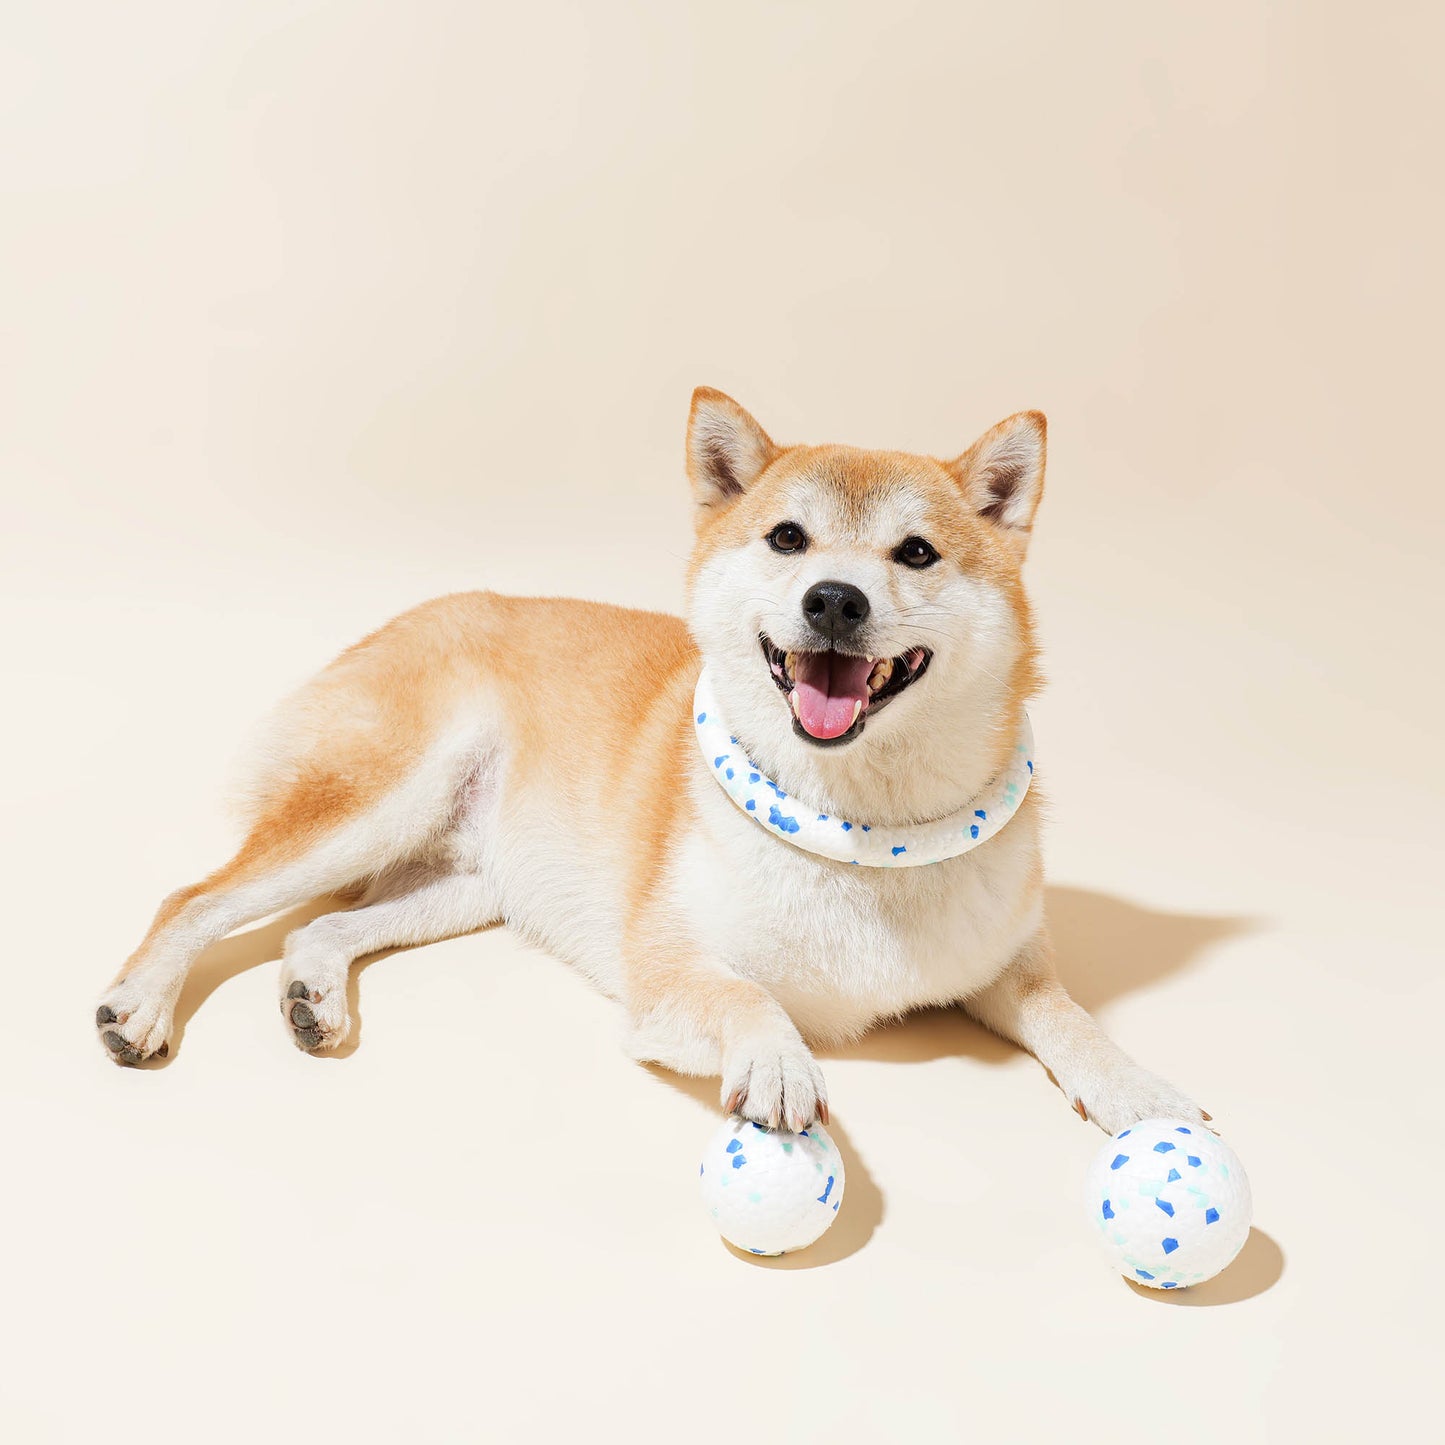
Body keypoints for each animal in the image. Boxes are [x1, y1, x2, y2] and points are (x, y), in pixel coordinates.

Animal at [93, 390, 1196, 1132]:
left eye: (916, 553)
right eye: (787, 538)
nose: (833, 598)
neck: (861, 832)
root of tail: (414, 612)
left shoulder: (1006, 969)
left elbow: (1071, 1019)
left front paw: (1137, 1085)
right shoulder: (664, 970)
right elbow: (748, 995)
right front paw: (780, 1062)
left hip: (470, 882)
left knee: (317, 926)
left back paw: (312, 994)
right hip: (376, 804)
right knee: (194, 896)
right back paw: (140, 1002)